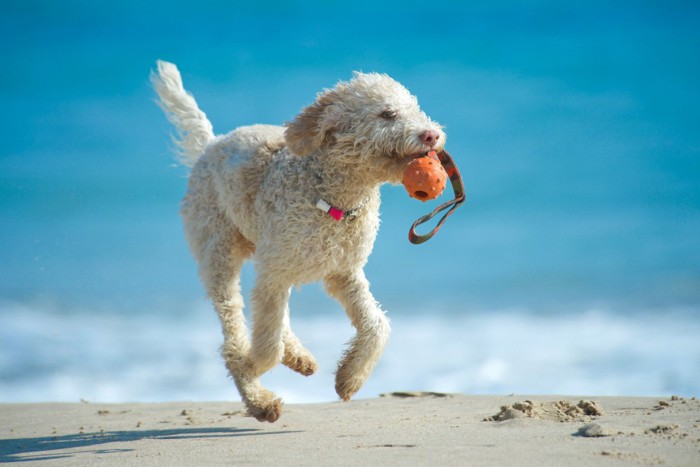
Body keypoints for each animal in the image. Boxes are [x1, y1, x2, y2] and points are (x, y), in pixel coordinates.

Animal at [152, 59, 446, 424]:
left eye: (415, 109)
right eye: (387, 114)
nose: (432, 134)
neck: (332, 199)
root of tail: (211, 143)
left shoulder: (343, 273)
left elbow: (376, 325)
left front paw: (349, 377)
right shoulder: (276, 273)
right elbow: (265, 347)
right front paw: (253, 368)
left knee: (273, 320)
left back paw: (297, 356)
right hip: (220, 254)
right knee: (234, 331)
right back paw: (259, 397)